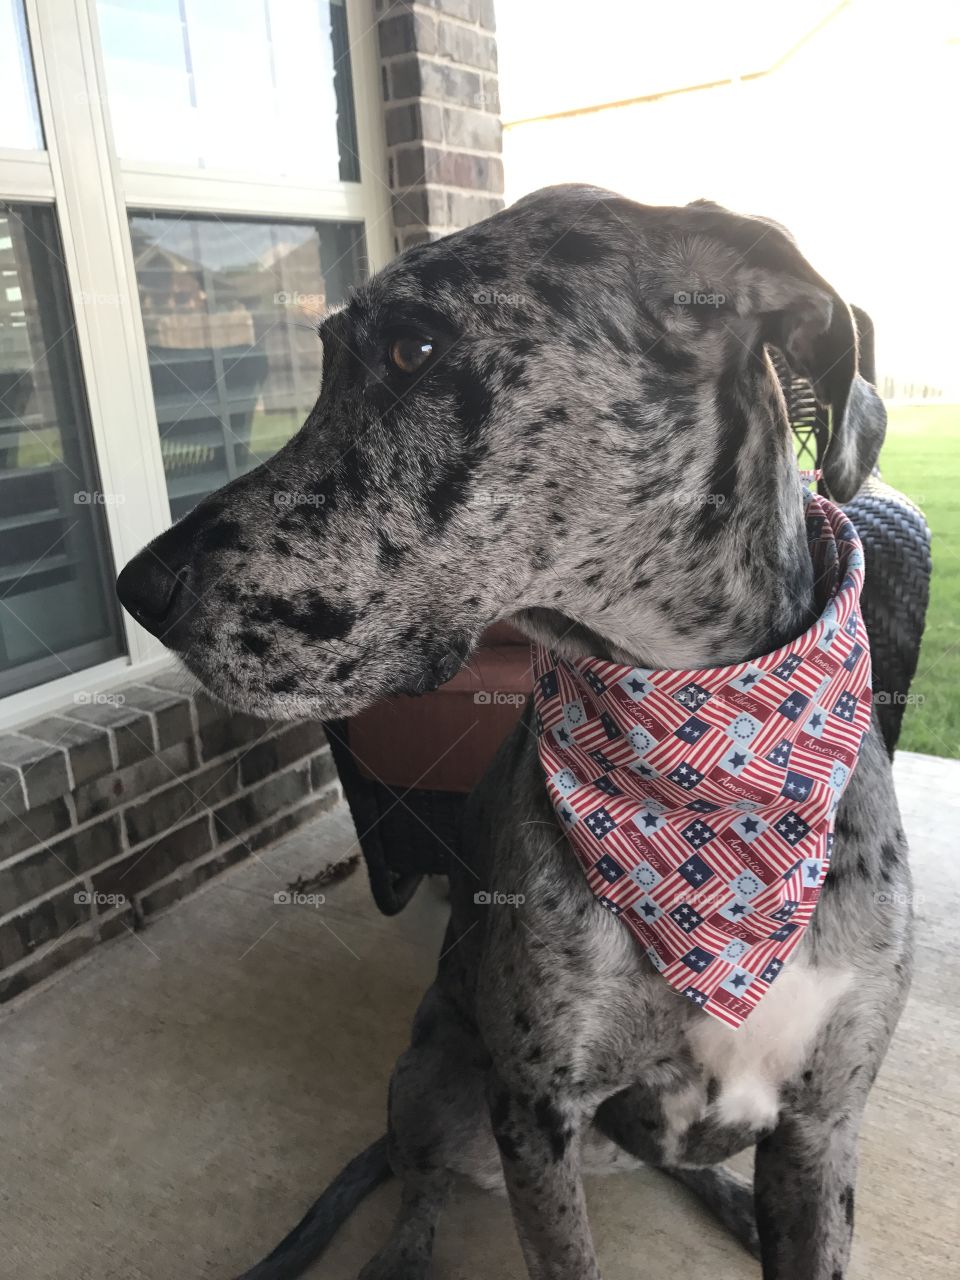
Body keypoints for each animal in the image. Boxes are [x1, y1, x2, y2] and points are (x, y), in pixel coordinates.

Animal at [116, 186, 911, 1280]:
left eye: (413, 346)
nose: (137, 589)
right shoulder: (536, 1106)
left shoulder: (824, 1120)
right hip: (439, 1072)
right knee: (421, 1176)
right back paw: (404, 1253)